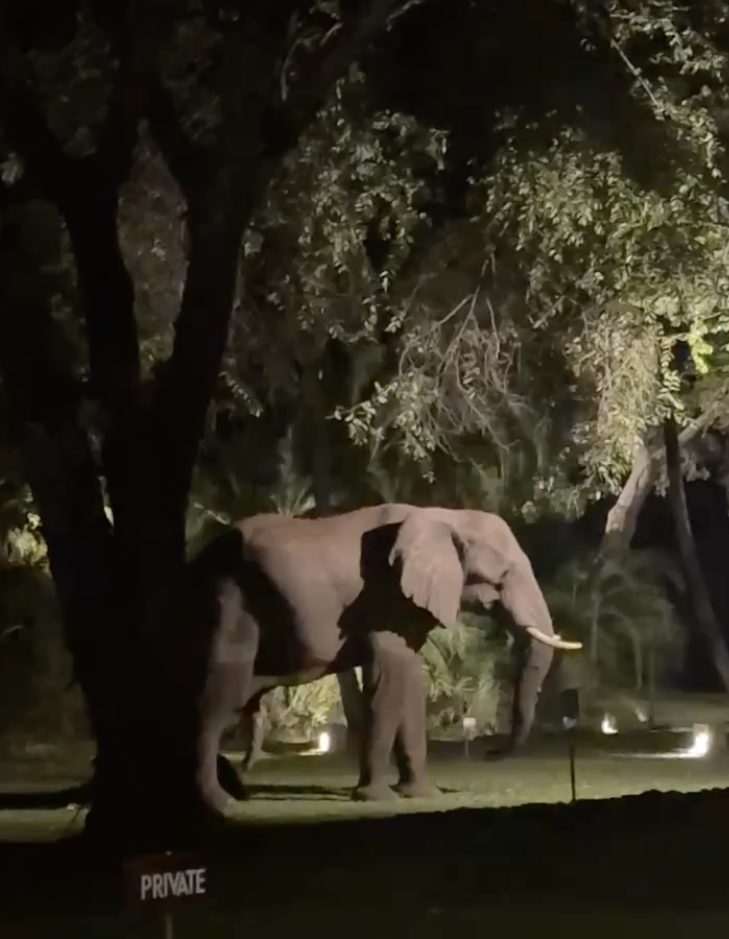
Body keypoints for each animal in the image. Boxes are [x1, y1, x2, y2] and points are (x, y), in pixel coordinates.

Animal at [191, 503, 581, 813]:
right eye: (503, 576)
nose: (489, 754)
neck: (446, 516)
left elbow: (410, 686)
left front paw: (422, 794)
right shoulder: (385, 600)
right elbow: (389, 683)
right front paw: (377, 797)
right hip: (231, 600)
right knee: (219, 695)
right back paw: (221, 803)